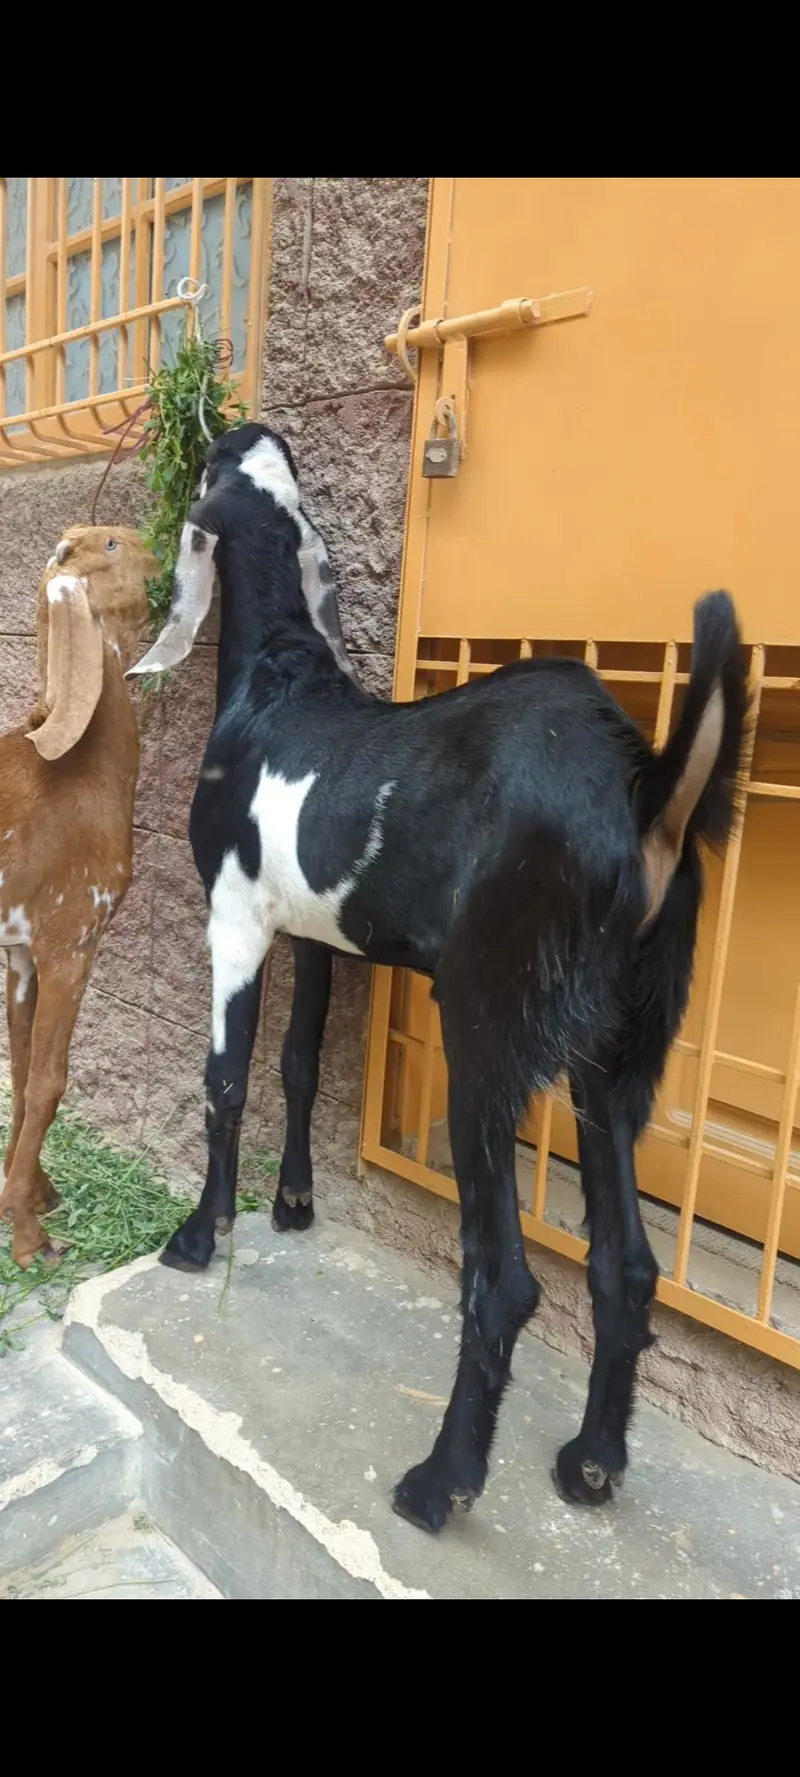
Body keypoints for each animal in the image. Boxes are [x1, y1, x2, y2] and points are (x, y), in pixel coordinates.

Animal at [129, 421, 749, 1534]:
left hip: (484, 1027)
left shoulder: (234, 917)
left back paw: (440, 1480)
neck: (278, 676)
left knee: (502, 1279)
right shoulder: (318, 934)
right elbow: (297, 1064)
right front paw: (294, 1204)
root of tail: (643, 790)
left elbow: (227, 1081)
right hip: (615, 1047)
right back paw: (591, 1461)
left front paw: (201, 1235)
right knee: (626, 1263)